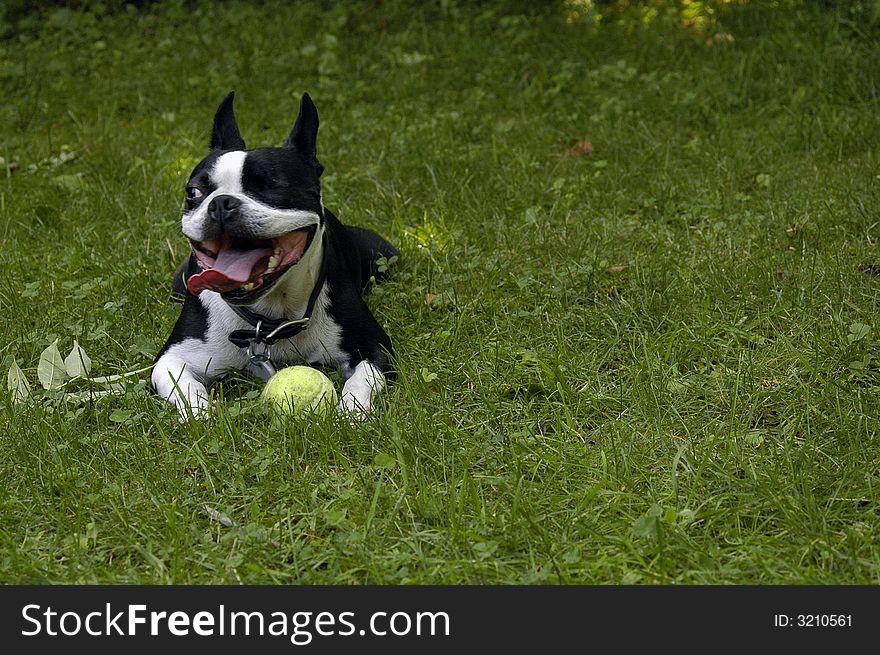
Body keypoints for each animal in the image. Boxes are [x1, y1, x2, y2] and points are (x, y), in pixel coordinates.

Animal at [154, 91, 396, 420]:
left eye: (273, 186)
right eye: (193, 192)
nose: (221, 203)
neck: (270, 315)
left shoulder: (375, 349)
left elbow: (361, 381)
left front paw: (350, 415)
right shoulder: (172, 358)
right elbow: (186, 389)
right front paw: (205, 416)